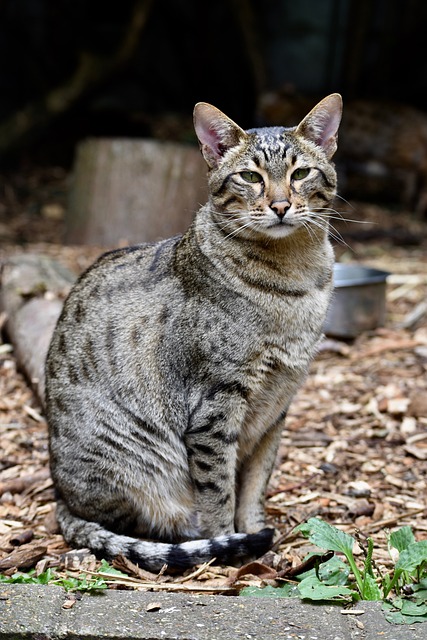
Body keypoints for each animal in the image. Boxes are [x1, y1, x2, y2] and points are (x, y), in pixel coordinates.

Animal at [45, 92, 342, 572]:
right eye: (250, 177)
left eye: (300, 173)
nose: (280, 205)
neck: (296, 278)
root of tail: (60, 497)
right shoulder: (214, 407)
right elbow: (219, 492)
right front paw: (230, 548)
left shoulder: (277, 406)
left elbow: (255, 483)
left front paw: (259, 534)